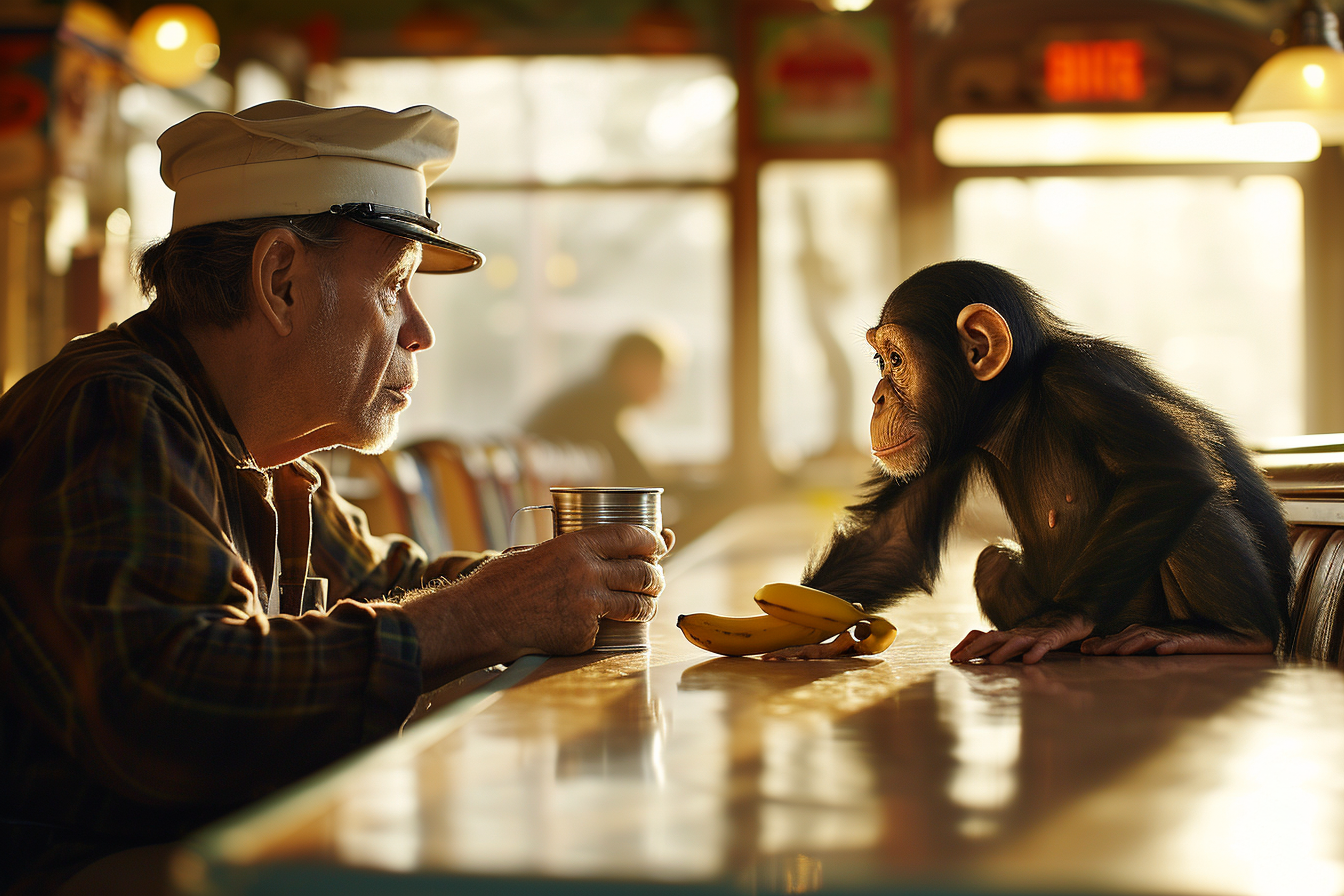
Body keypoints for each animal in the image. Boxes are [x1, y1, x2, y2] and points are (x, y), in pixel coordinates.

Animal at [784, 259, 1290, 666]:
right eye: (879, 361)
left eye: (895, 359)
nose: (878, 398)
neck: (1017, 401)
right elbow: (895, 538)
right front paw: (809, 630)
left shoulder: (1082, 379)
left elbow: (1171, 471)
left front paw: (1059, 622)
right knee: (991, 564)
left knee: (1196, 506)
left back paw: (1232, 634)